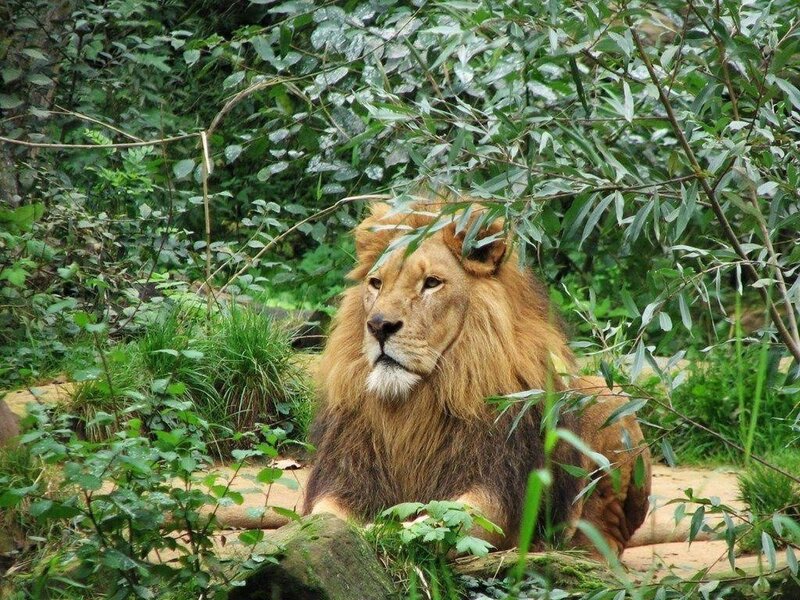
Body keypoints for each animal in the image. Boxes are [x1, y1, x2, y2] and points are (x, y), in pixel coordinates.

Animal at [303, 198, 651, 555]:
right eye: (376, 283)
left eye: (431, 283)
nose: (379, 326)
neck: (415, 405)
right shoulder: (347, 478)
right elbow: (319, 518)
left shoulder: (499, 488)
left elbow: (444, 523)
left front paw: (382, 532)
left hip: (612, 403)